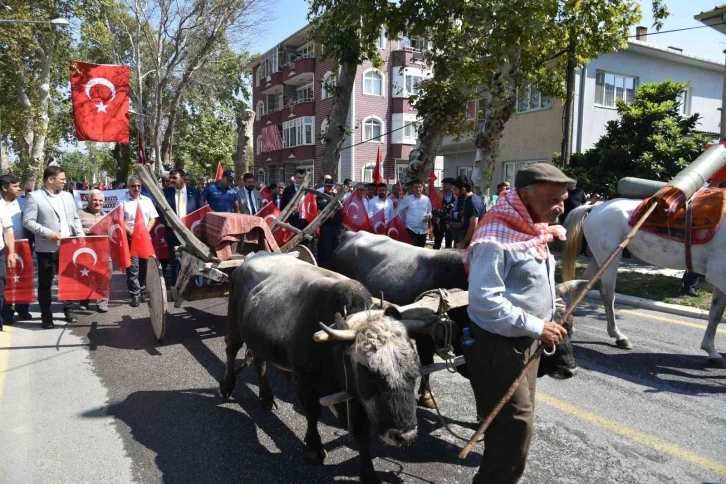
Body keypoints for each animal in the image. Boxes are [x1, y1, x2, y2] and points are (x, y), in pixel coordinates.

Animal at [564, 199, 726, 368]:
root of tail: (596, 206)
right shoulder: (719, 274)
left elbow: (716, 313)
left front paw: (712, 351)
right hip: (610, 256)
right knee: (607, 294)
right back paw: (618, 336)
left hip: (600, 259)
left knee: (580, 287)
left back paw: (570, 326)